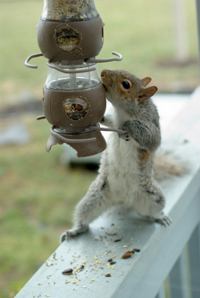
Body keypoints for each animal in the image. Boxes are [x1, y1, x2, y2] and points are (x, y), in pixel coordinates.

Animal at [60, 68, 175, 241]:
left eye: (126, 84)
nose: (103, 72)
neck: (123, 112)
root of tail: (122, 199)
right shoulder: (113, 120)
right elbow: (107, 121)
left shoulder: (150, 125)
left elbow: (151, 140)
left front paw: (127, 127)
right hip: (95, 197)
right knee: (84, 217)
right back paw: (76, 229)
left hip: (154, 198)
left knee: (146, 213)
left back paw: (158, 217)